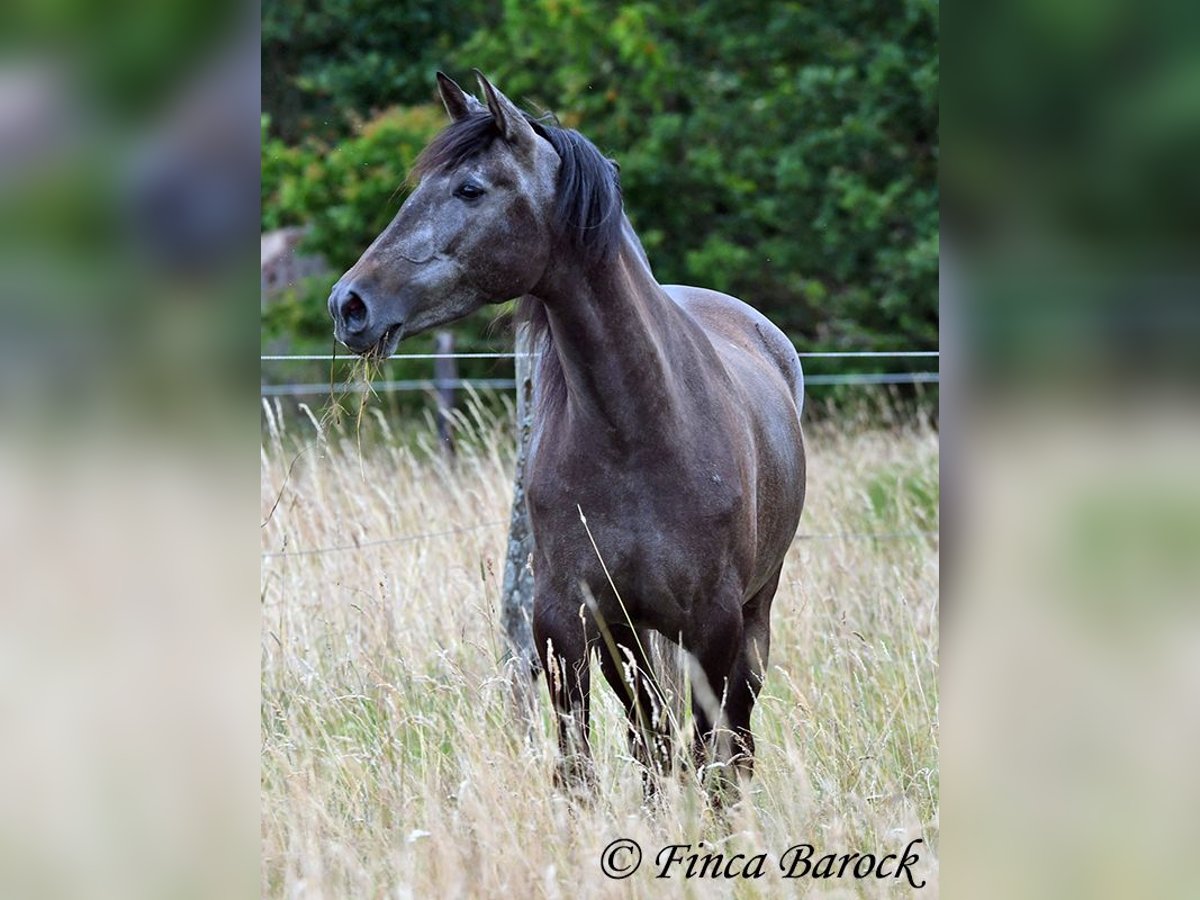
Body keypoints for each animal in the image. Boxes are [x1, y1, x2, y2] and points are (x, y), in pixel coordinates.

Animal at [328, 72, 806, 796]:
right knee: (652, 738)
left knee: (734, 740)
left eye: (470, 189)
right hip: (632, 640)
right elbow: (584, 769)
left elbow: (712, 759)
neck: (638, 435)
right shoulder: (569, 625)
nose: (348, 305)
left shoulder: (715, 627)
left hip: (753, 613)